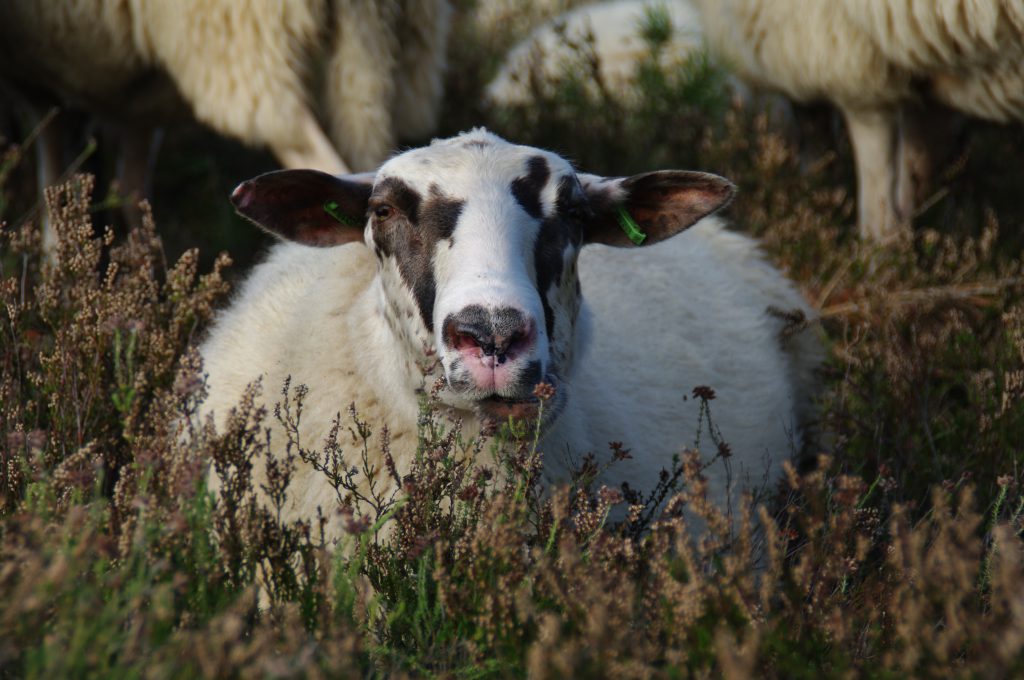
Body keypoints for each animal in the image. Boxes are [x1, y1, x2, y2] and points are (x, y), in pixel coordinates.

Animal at [0, 0, 448, 250]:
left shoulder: (41, 83)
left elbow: (53, 180)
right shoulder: (138, 104)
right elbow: (131, 192)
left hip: (241, 46)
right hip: (381, 55)